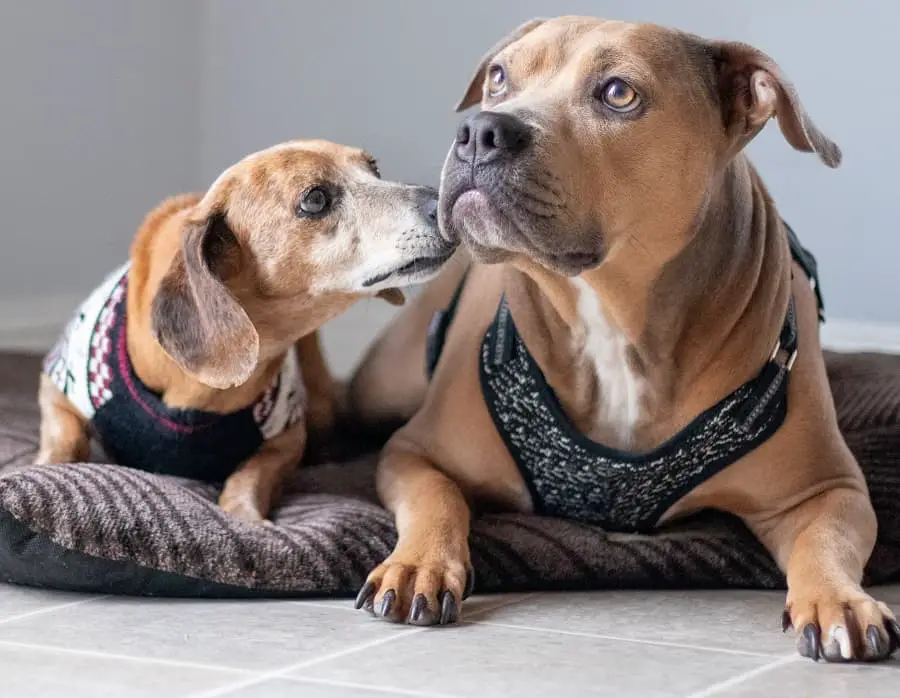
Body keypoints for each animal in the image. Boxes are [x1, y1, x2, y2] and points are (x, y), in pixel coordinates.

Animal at [37, 139, 454, 520]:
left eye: (374, 169)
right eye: (315, 199)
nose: (447, 200)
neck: (198, 393)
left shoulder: (287, 434)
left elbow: (253, 473)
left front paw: (243, 516)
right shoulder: (57, 389)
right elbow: (64, 439)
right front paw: (42, 469)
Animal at [350, 14, 900, 656]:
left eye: (618, 93)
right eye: (498, 77)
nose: (479, 130)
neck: (610, 316)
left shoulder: (827, 490)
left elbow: (826, 544)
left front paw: (840, 601)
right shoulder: (415, 453)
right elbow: (436, 501)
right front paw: (418, 565)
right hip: (382, 387)